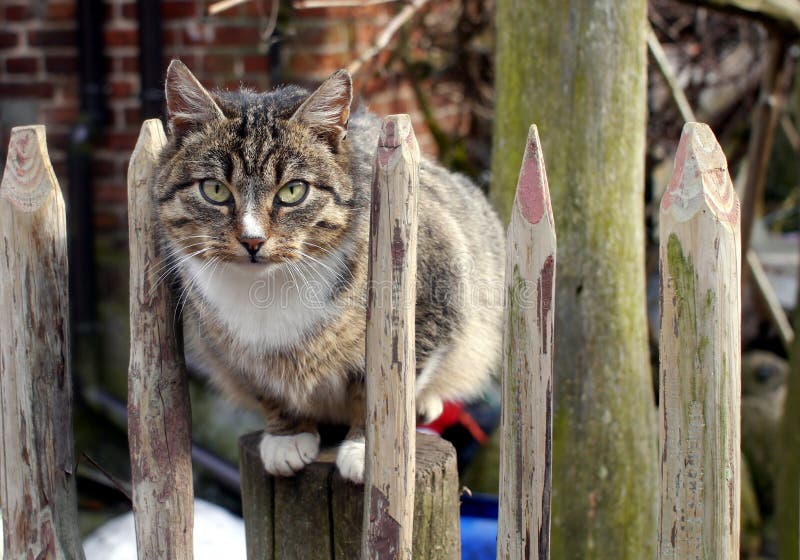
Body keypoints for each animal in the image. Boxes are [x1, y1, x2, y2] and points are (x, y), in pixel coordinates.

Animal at [153, 60, 504, 482]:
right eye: (215, 190)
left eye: (293, 191)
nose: (252, 241)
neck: (268, 290)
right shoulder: (232, 352)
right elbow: (267, 387)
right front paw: (287, 437)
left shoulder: (435, 293)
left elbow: (380, 387)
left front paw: (367, 450)